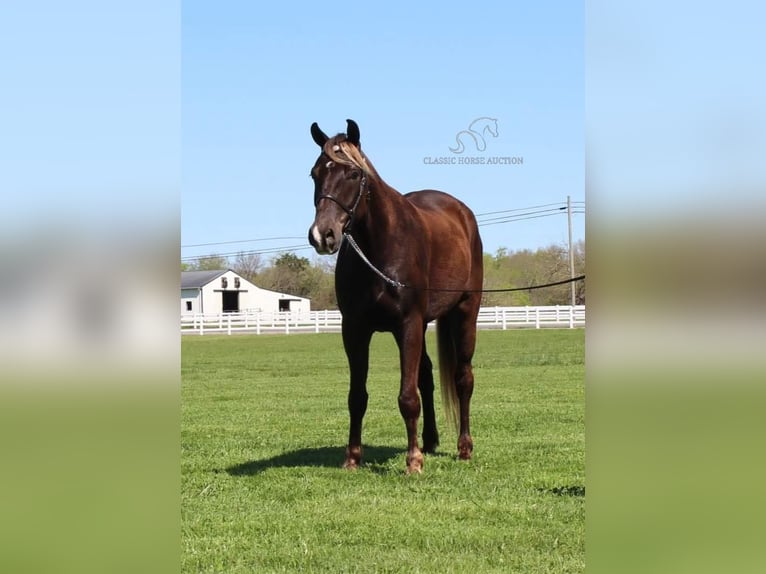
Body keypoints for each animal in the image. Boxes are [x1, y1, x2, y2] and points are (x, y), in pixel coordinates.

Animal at [308, 119, 484, 474]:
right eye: (314, 173)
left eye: (353, 174)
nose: (323, 235)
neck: (379, 247)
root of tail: (462, 212)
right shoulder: (355, 330)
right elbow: (357, 396)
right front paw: (352, 457)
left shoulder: (408, 325)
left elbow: (407, 396)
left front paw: (412, 461)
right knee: (427, 376)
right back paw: (430, 441)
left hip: (464, 312)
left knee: (463, 378)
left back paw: (463, 447)